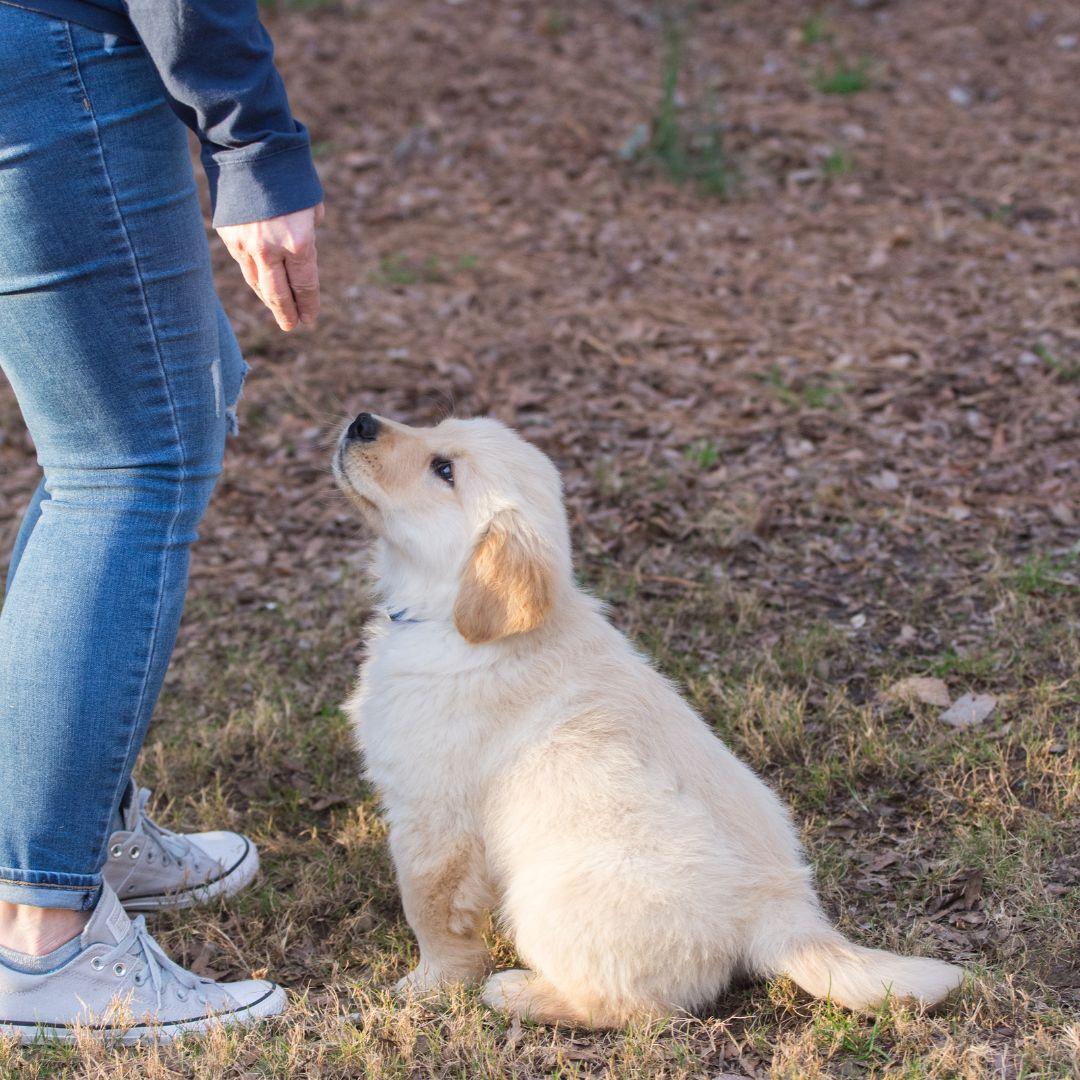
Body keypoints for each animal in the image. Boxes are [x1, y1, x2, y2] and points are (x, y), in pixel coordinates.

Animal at [330, 408, 963, 1023]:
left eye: (444, 470)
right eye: (437, 428)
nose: (361, 421)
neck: (451, 622)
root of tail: (780, 912)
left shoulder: (432, 818)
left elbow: (433, 912)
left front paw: (429, 986)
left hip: (547, 896)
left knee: (630, 1008)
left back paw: (519, 994)